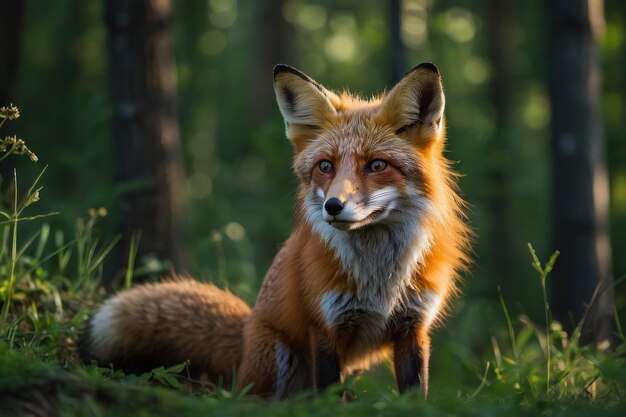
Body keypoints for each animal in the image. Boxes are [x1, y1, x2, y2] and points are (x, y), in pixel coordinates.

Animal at [80, 61, 468, 396]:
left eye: (376, 165)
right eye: (325, 166)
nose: (332, 206)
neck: (380, 281)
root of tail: (247, 331)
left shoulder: (413, 328)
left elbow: (415, 393)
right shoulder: (324, 327)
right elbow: (329, 395)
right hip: (278, 359)